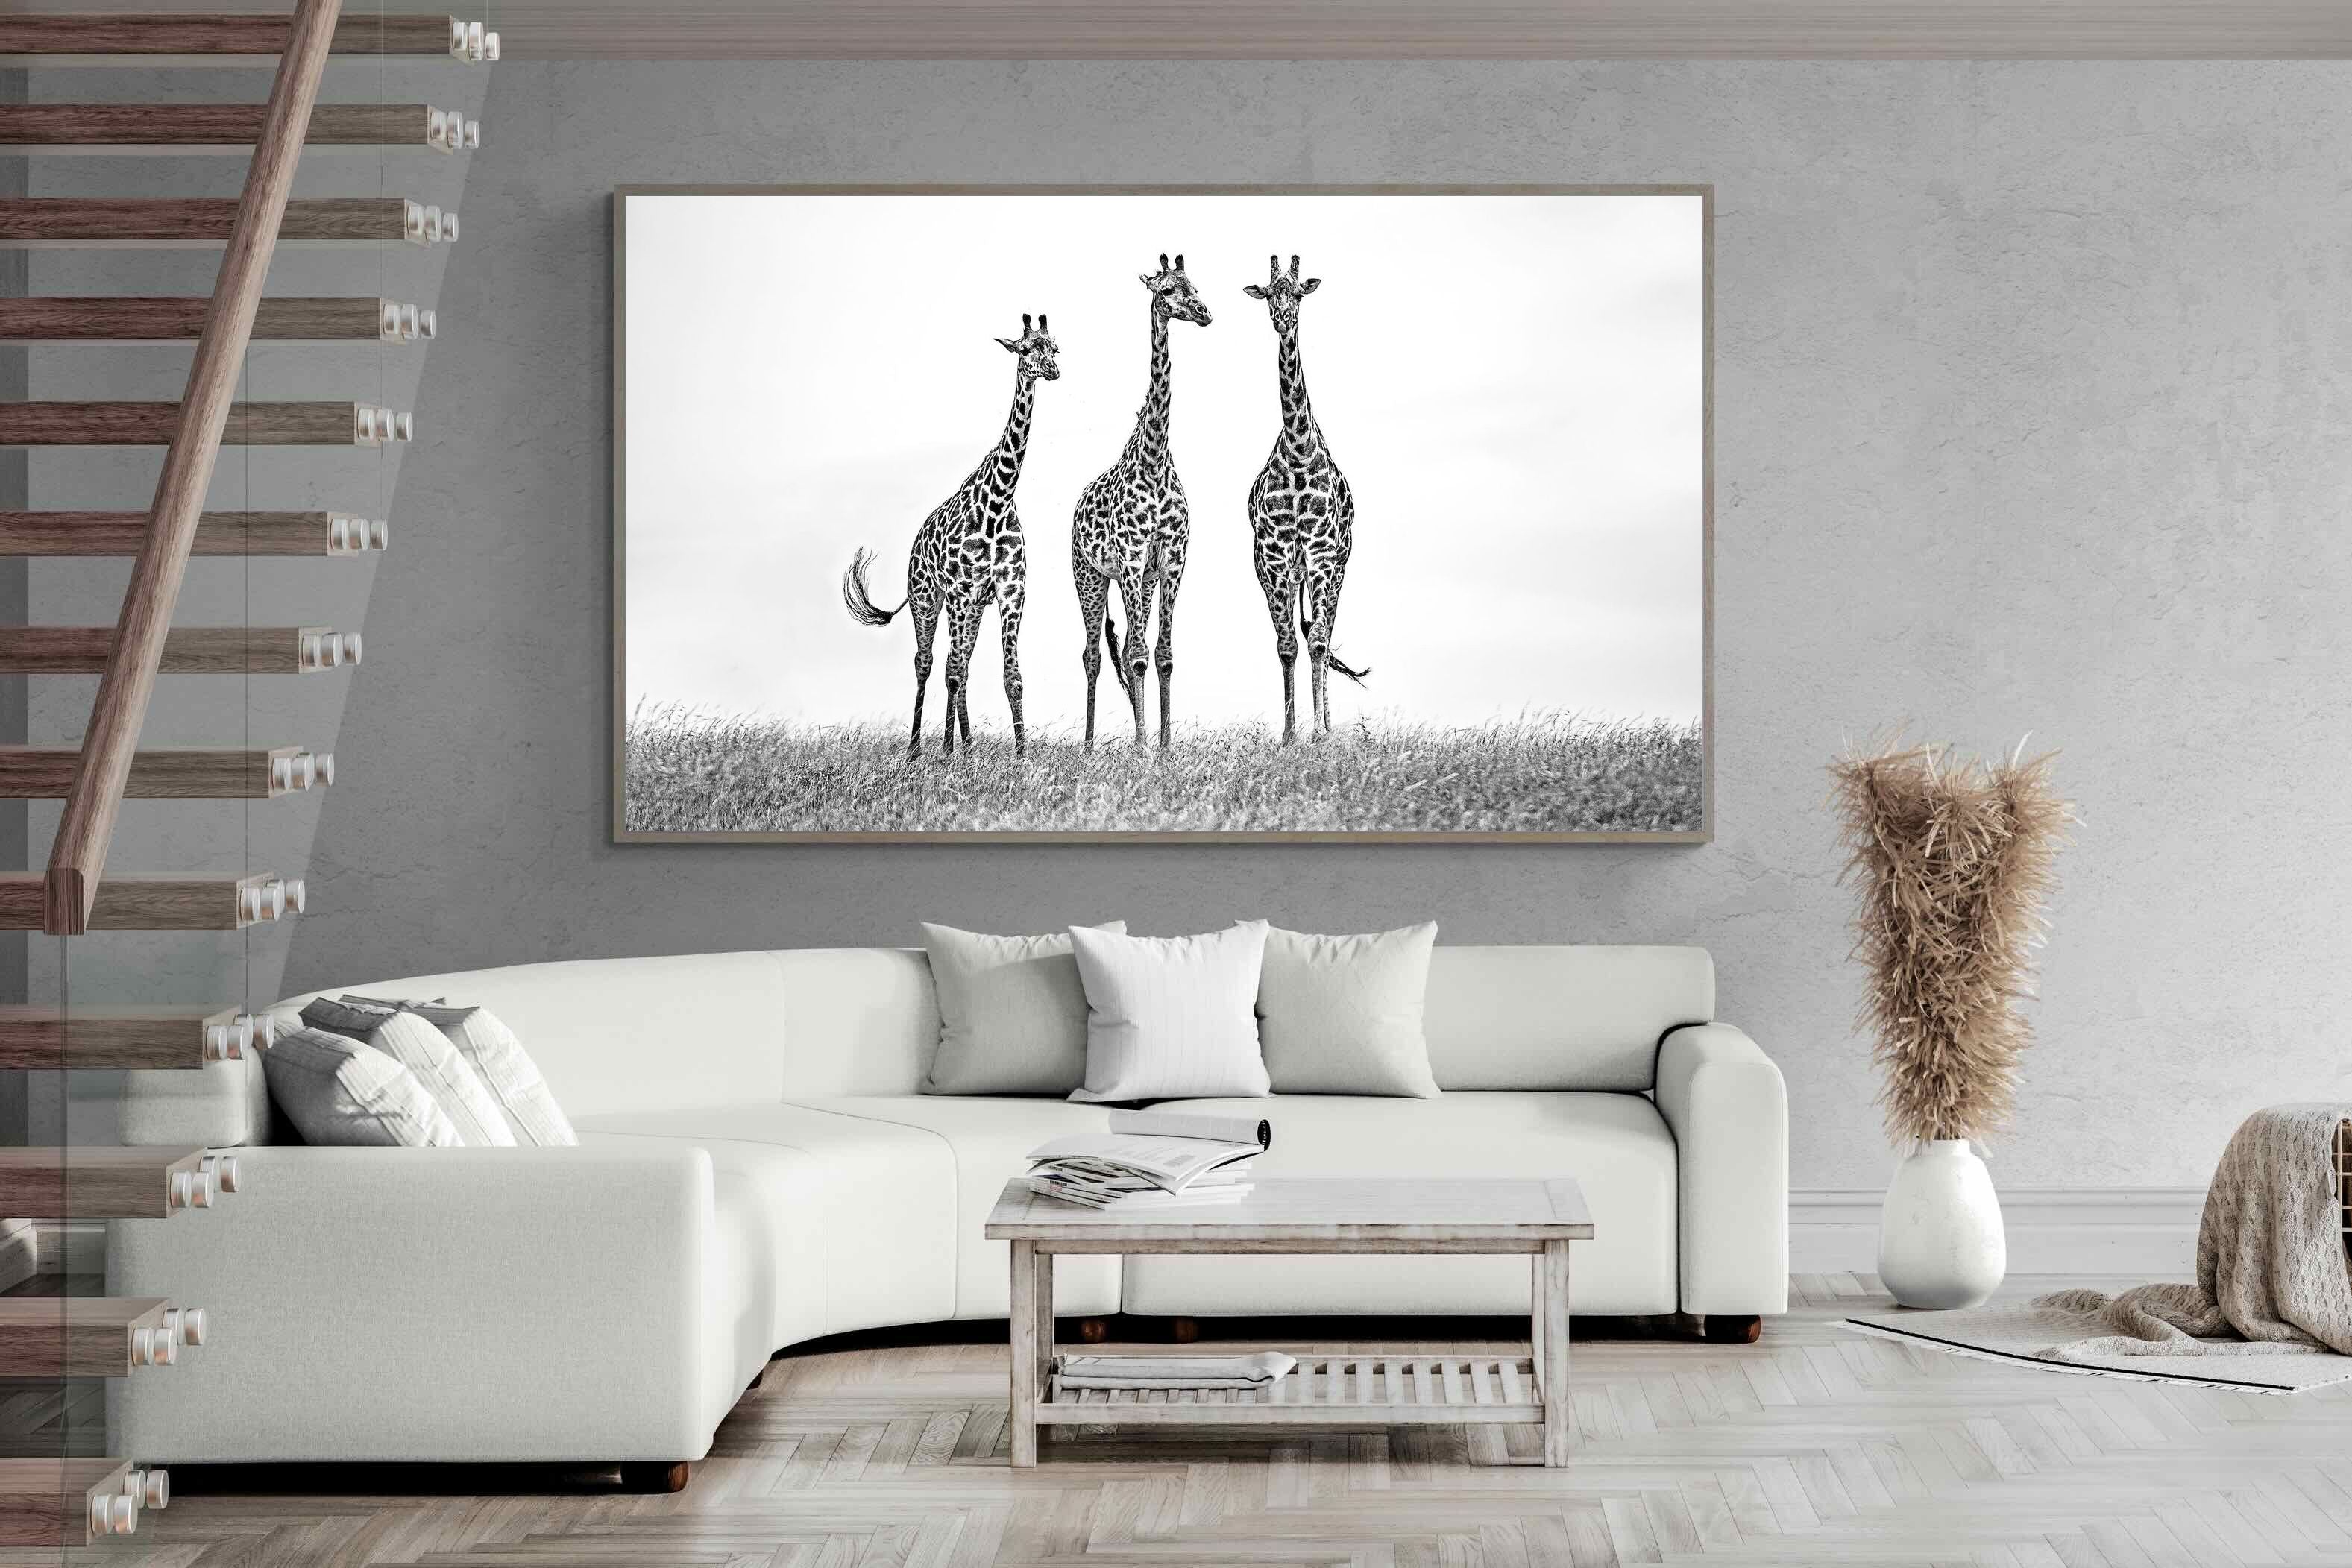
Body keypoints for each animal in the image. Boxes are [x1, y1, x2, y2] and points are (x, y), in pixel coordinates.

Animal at [842, 313, 1059, 759]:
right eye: (1027, 348)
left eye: (1055, 347)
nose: (1053, 371)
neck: (999, 499)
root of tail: (915, 543)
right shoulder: (960, 592)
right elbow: (952, 671)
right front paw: (949, 753)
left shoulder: (1010, 592)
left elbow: (1012, 677)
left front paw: (1021, 757)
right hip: (927, 600)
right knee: (928, 663)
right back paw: (918, 750)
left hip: (971, 608)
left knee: (958, 665)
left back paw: (964, 746)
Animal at [1070, 252, 1211, 750]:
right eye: (1167, 290)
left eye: (1194, 284)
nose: (1204, 313)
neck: (1153, 461)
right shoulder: (1130, 560)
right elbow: (1134, 655)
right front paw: (1143, 746)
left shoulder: (1170, 561)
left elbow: (1162, 653)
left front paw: (1164, 744)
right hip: (1090, 577)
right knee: (1093, 653)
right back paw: (1090, 743)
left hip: (1142, 582)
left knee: (1132, 645)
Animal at [1244, 254, 1367, 744]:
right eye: (1268, 293)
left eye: (1296, 293)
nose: (1283, 317)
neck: (1297, 451)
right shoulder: (1276, 556)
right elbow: (1287, 646)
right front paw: (1289, 734)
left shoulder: (1321, 551)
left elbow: (1316, 642)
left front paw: (1319, 733)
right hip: (1282, 572)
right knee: (1307, 632)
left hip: (1338, 568)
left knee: (1324, 633)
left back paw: (1329, 724)